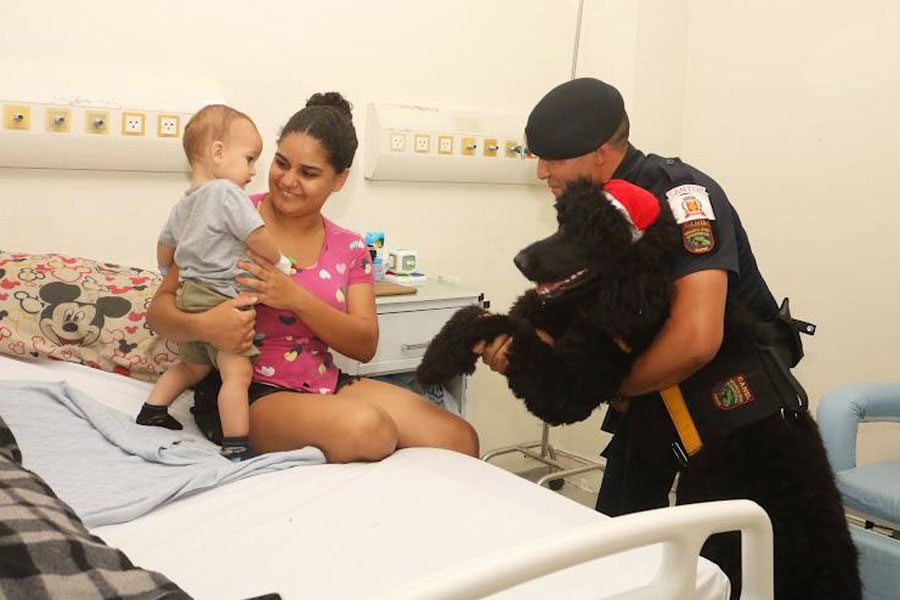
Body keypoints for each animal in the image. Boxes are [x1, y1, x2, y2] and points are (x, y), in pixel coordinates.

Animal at [418, 180, 860, 596]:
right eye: (562, 222)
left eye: (589, 234)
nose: (520, 259)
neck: (641, 289)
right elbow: (484, 312)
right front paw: (440, 353)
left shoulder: (568, 385)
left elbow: (506, 325)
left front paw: (440, 357)